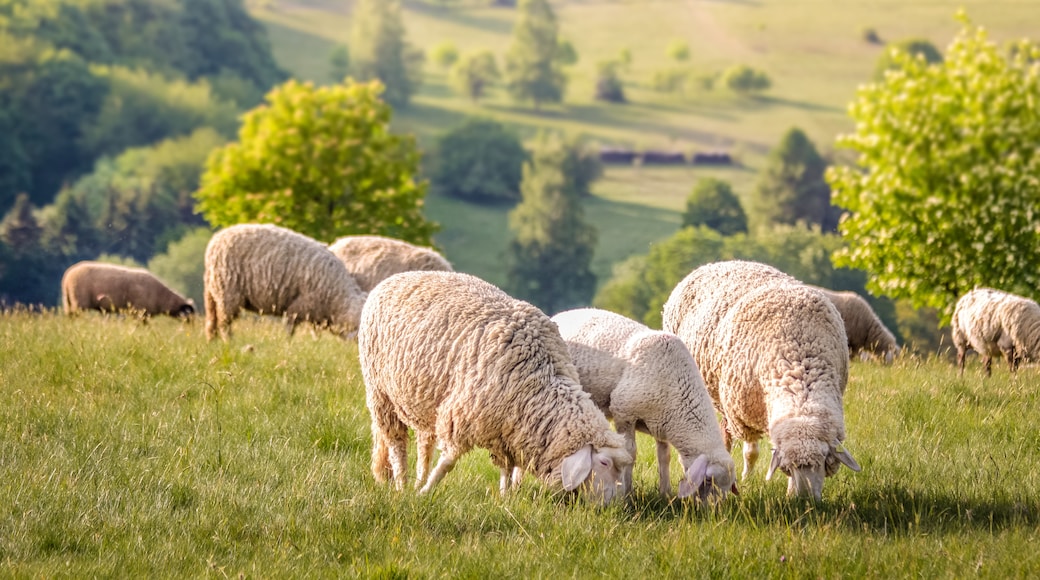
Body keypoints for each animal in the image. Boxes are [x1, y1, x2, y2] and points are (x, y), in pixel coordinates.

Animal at [61, 261, 196, 320]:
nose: (193, 327)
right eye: (189, 314)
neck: (162, 297)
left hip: (68, 300)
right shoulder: (139, 311)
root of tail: (68, 275)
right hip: (79, 302)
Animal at [200, 222, 368, 340]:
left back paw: (212, 342)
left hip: (212, 293)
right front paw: (288, 343)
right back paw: (229, 342)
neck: (336, 298)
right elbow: (290, 329)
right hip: (228, 293)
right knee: (224, 323)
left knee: (211, 321)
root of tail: (215, 240)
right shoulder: (298, 307)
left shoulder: (314, 314)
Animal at [357, 272, 632, 505]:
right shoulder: (462, 415)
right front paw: (426, 493)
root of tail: (393, 278)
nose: (617, 506)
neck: (540, 382)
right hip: (380, 392)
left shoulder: (505, 430)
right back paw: (402, 484)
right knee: (396, 444)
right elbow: (448, 462)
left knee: (424, 444)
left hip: (423, 399)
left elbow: (505, 468)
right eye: (604, 463)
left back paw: (417, 479)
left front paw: (504, 497)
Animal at [553, 309, 740, 505]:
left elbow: (664, 456)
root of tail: (563, 313)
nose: (711, 509)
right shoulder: (623, 411)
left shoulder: (662, 424)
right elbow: (630, 453)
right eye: (709, 479)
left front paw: (665, 494)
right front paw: (627, 493)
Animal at [661, 261, 865, 503]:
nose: (805, 500)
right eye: (789, 466)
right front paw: (746, 478)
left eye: (823, 460)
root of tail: (715, 264)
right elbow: (751, 452)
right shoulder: (742, 412)